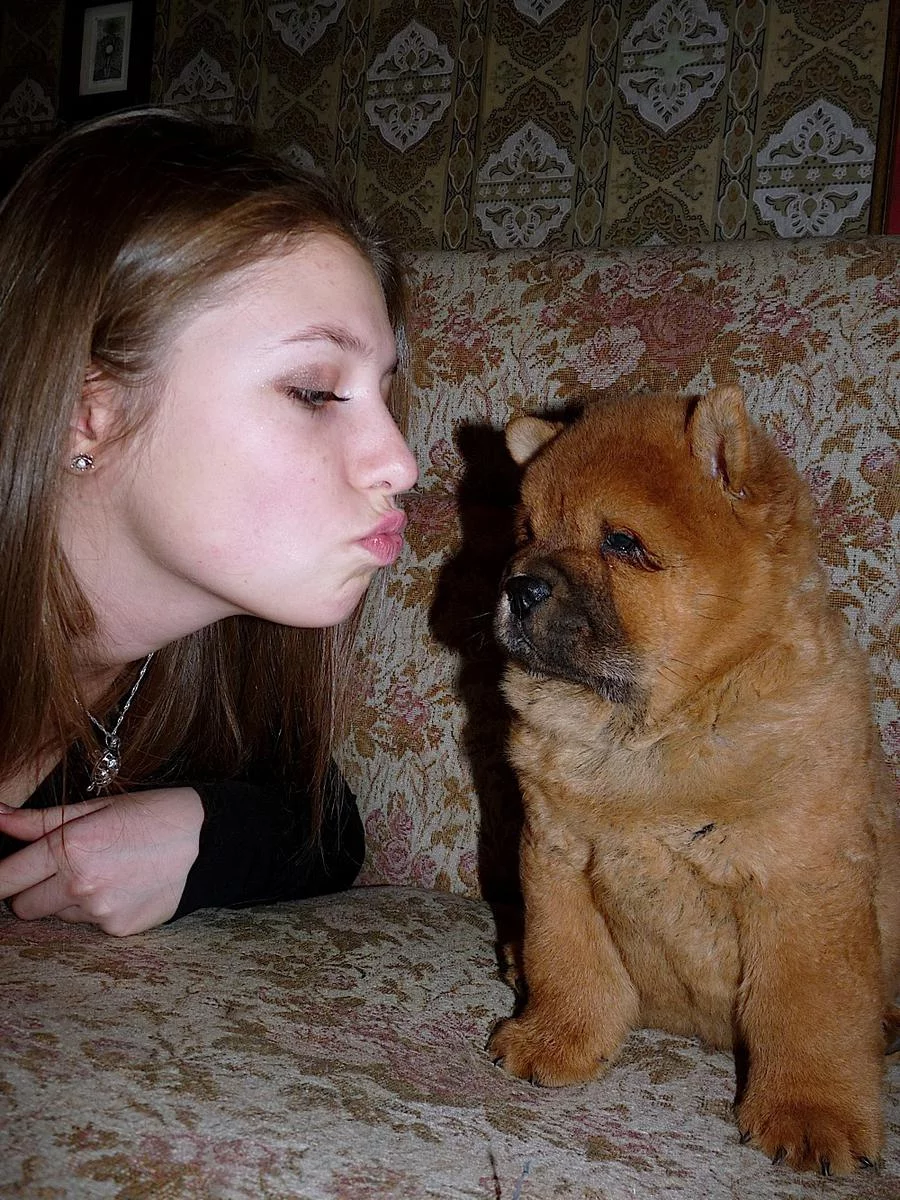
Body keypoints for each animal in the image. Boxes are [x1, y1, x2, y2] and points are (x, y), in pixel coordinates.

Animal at [488, 385, 900, 1176]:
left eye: (621, 542)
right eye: (527, 532)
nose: (517, 586)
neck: (652, 732)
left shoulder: (801, 881)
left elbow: (812, 1010)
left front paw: (813, 1118)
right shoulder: (554, 854)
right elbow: (567, 958)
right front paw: (554, 1041)